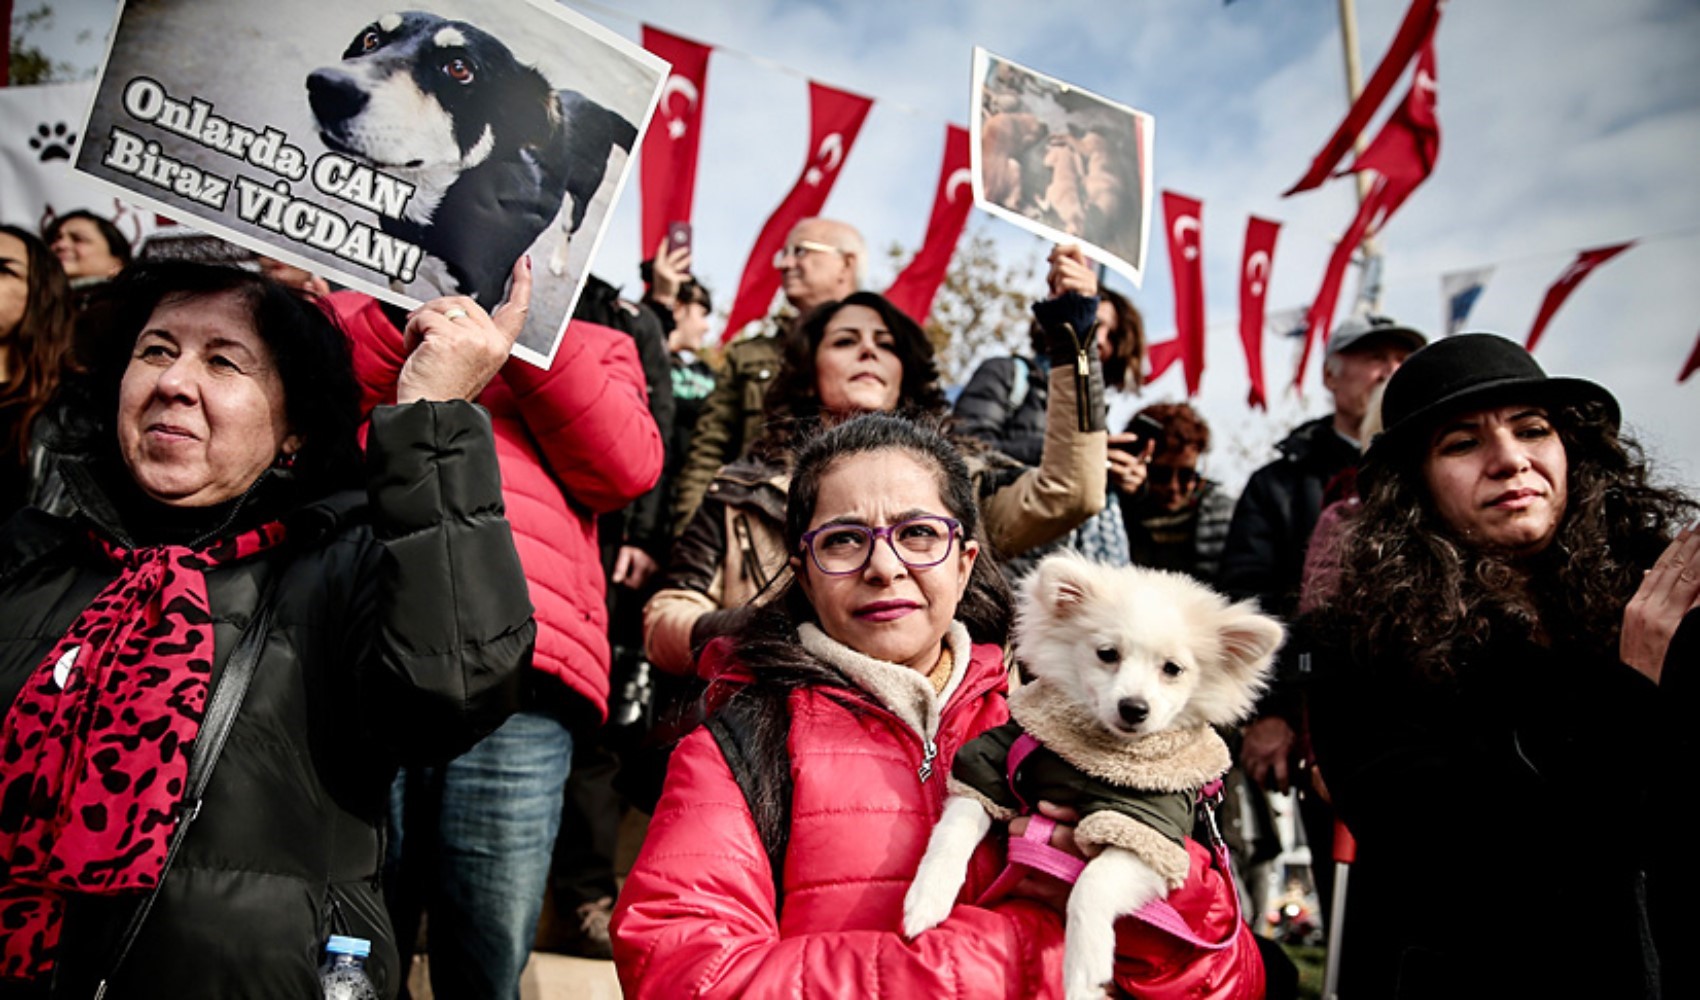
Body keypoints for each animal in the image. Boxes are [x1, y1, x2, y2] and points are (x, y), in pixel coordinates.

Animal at [904, 554, 1278, 1000]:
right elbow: (954, 829)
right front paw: (927, 897)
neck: (1090, 756)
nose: (1134, 707)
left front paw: (1084, 971)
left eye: (1173, 669)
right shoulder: (994, 765)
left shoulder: (1149, 836)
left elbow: (1091, 884)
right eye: (1107, 654)